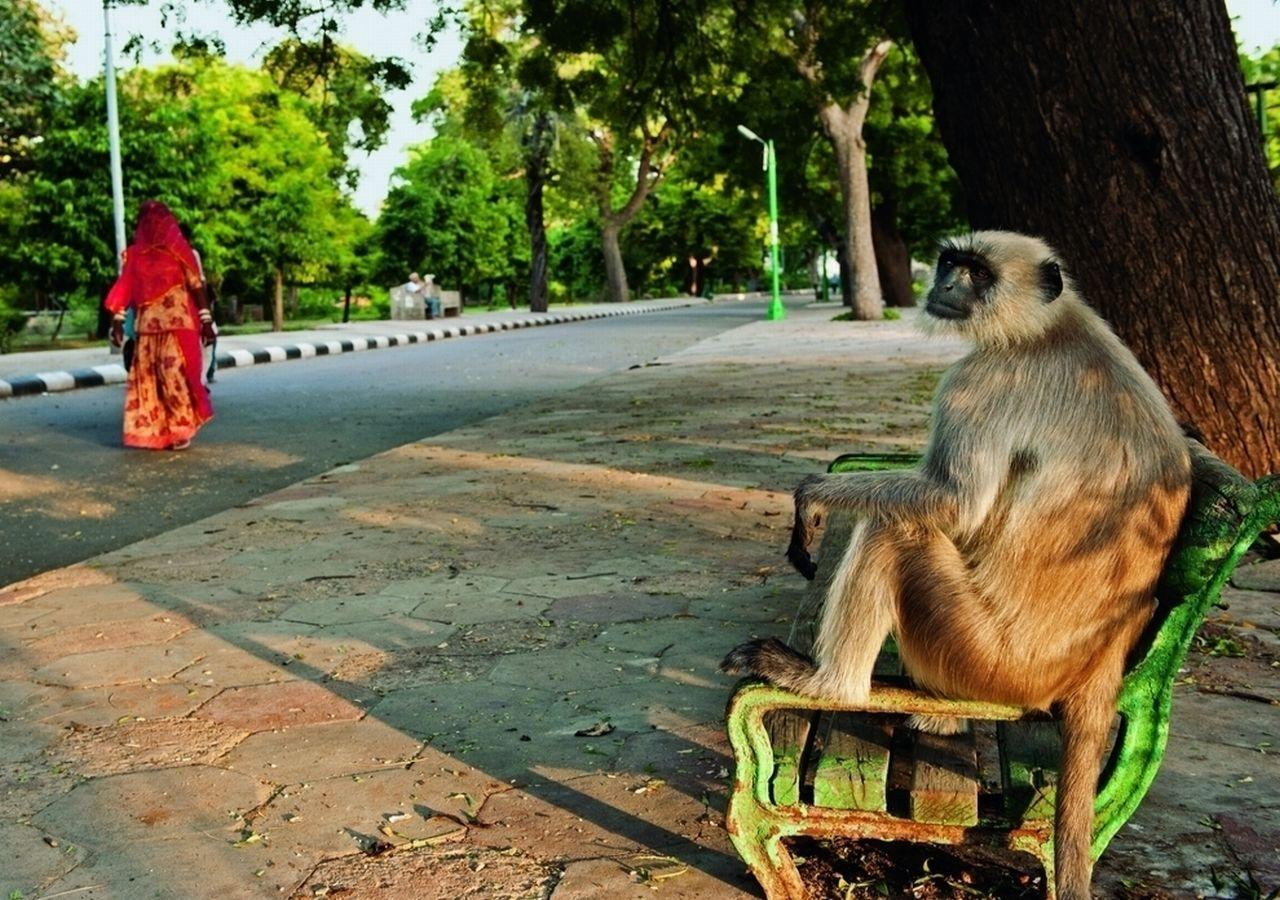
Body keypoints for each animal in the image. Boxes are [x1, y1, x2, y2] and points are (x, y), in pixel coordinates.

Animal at [727, 233, 1192, 900]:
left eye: (977, 273)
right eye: (952, 263)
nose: (944, 285)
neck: (1049, 327)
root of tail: (1098, 663)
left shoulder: (983, 380)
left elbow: (953, 502)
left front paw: (815, 496)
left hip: (978, 651)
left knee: (896, 528)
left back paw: (828, 684)